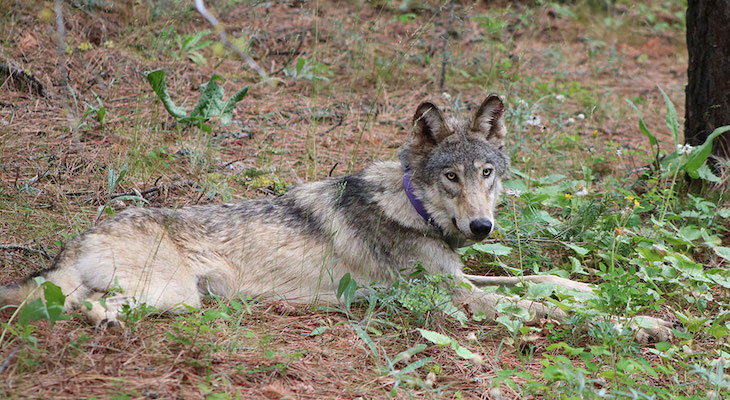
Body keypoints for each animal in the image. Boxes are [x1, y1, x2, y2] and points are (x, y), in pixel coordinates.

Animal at [0, 94, 673, 343]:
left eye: (487, 173)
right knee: (79, 307)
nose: (481, 229)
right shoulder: (454, 300)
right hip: (174, 296)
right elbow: (536, 308)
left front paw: (590, 290)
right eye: (451, 177)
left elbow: (540, 282)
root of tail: (80, 237)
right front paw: (638, 322)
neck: (412, 207)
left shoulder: (459, 278)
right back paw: (98, 321)